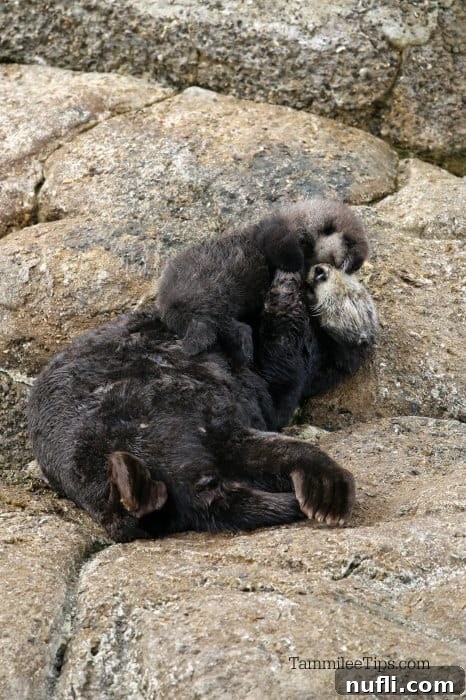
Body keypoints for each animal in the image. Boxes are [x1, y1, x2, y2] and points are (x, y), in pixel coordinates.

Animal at [28, 265, 377, 542]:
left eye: (353, 295)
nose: (320, 271)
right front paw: (285, 285)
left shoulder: (287, 376)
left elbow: (281, 365)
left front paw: (286, 294)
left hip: (215, 436)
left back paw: (328, 496)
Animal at [157, 198, 369, 365]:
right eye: (349, 242)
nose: (355, 265)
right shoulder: (280, 233)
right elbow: (282, 249)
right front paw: (297, 265)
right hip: (206, 295)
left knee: (227, 327)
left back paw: (244, 350)